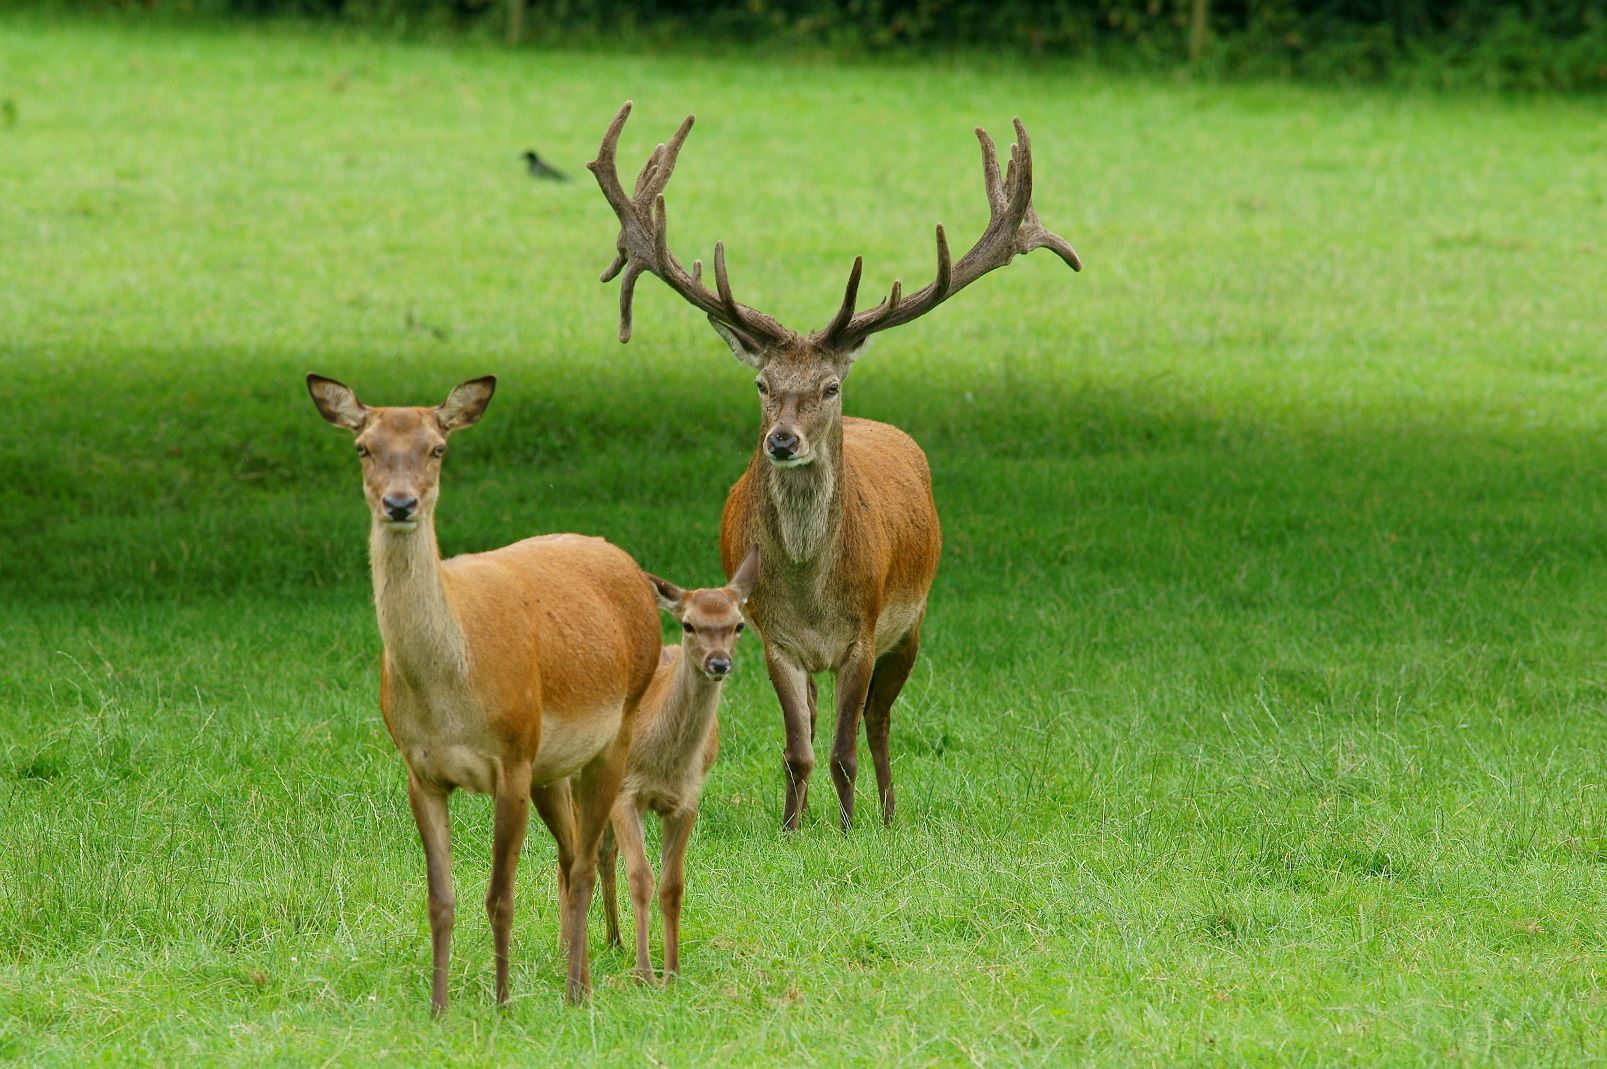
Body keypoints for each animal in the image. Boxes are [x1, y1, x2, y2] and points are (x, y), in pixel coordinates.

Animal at [591, 104, 1079, 829]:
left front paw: (850, 830)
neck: (811, 593)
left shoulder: (865, 632)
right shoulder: (771, 637)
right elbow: (798, 747)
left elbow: (847, 746)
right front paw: (792, 828)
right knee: (820, 724)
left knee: (879, 722)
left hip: (914, 621)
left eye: (828, 386)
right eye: (762, 384)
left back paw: (887, 812)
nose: (783, 441)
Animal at [597, 549, 758, 983]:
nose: (719, 662)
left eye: (738, 624)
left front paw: (672, 972)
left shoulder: (687, 798)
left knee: (602, 853)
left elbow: (672, 884)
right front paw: (644, 974)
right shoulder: (625, 792)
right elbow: (640, 877)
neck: (664, 763)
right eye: (689, 623)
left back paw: (614, 940)